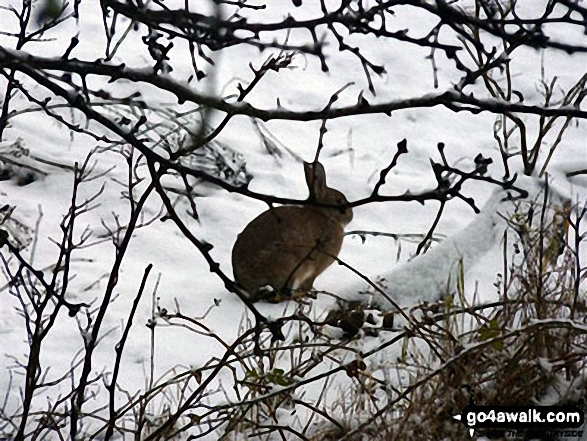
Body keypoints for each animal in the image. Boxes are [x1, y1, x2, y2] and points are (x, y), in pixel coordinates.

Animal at [232, 162, 354, 302]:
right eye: (340, 203)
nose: (351, 215)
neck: (325, 215)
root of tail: (245, 284)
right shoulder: (314, 270)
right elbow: (308, 284)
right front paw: (308, 292)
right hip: (289, 266)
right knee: (281, 296)